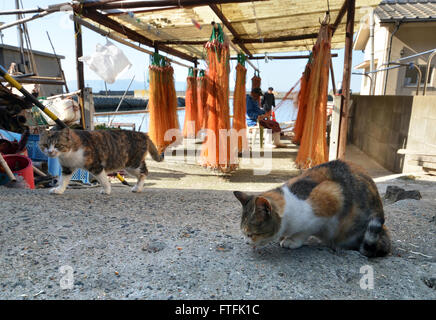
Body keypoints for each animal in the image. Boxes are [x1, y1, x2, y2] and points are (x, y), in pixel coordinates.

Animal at [235, 160, 392, 258]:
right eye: (243, 233)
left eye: (251, 234)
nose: (246, 242)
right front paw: (285, 237)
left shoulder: (332, 197)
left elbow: (304, 231)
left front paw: (291, 241)